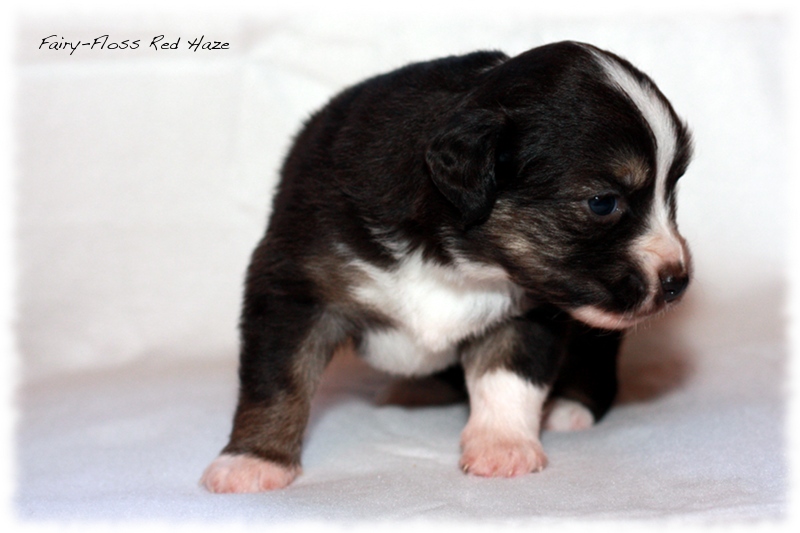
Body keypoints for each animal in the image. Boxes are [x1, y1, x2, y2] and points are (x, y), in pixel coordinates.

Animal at [202, 40, 692, 490]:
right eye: (603, 202)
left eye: (671, 192)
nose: (678, 281)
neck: (462, 260)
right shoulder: (294, 284)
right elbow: (277, 378)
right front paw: (252, 461)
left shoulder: (530, 308)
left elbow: (508, 374)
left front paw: (502, 446)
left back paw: (570, 406)